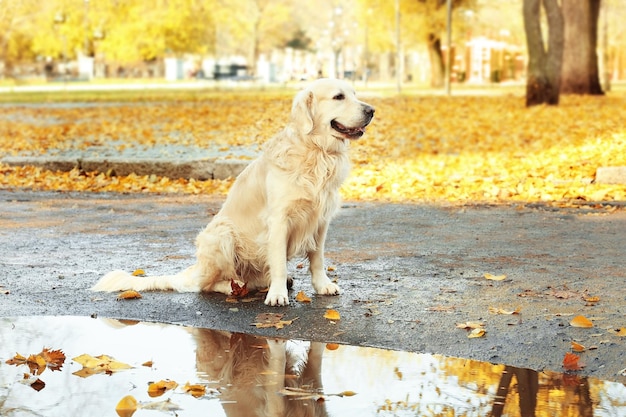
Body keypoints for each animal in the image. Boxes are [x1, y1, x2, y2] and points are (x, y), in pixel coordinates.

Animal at [92, 79, 372, 306]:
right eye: (338, 97)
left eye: (355, 94)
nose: (371, 110)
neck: (315, 151)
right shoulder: (279, 220)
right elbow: (279, 262)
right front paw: (277, 295)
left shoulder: (320, 220)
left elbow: (317, 259)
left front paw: (322, 286)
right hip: (221, 234)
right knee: (205, 285)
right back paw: (233, 287)